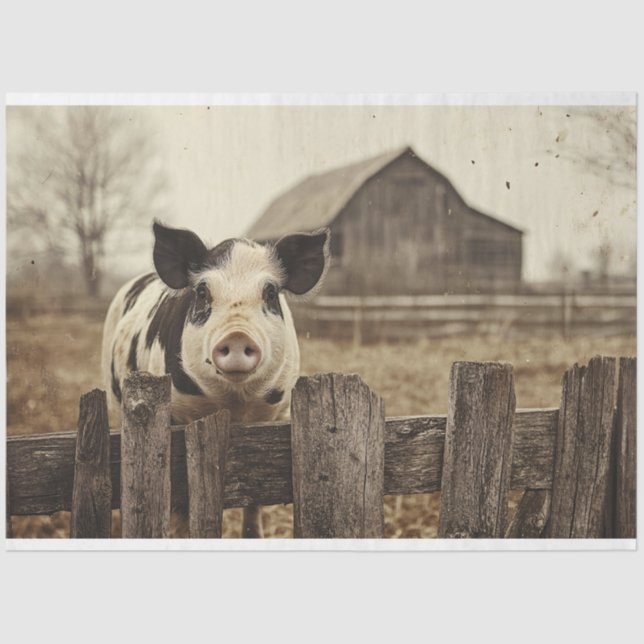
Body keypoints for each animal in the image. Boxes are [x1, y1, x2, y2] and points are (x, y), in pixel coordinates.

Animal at [102, 221, 330, 537]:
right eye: (202, 292)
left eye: (270, 293)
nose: (237, 335)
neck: (234, 403)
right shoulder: (174, 418)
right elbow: (180, 502)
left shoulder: (276, 415)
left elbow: (255, 501)